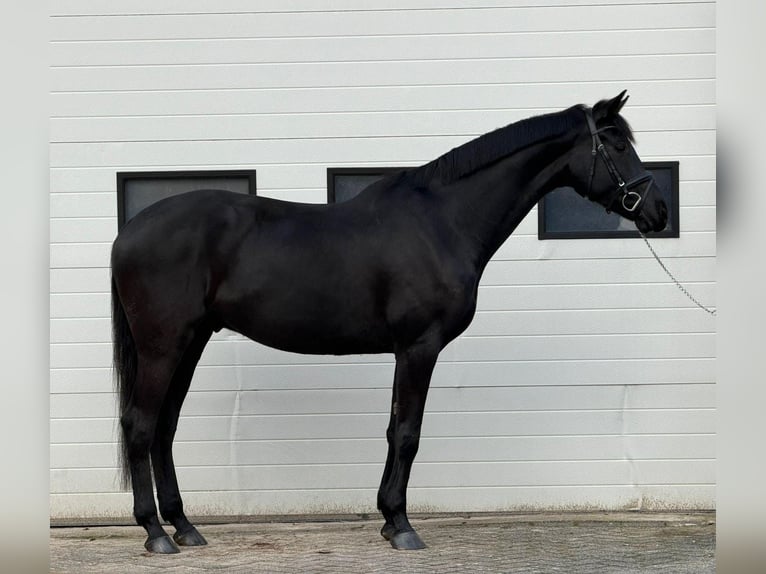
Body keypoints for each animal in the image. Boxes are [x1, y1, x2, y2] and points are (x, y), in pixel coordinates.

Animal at [111, 91, 667, 554]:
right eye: (618, 144)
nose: (658, 211)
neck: (442, 221)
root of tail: (129, 232)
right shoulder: (420, 346)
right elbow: (407, 433)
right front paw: (401, 526)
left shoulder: (407, 349)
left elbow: (393, 428)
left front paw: (386, 518)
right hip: (164, 346)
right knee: (140, 424)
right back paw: (155, 533)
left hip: (190, 342)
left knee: (163, 428)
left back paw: (184, 527)